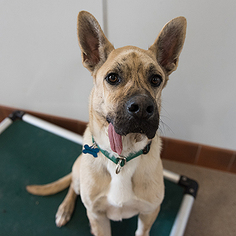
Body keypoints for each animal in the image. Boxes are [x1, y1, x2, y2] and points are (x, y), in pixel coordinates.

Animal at [26, 10, 186, 235]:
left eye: (156, 79)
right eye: (112, 78)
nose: (143, 108)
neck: (122, 157)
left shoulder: (148, 214)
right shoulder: (97, 216)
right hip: (78, 177)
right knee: (72, 187)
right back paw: (65, 209)